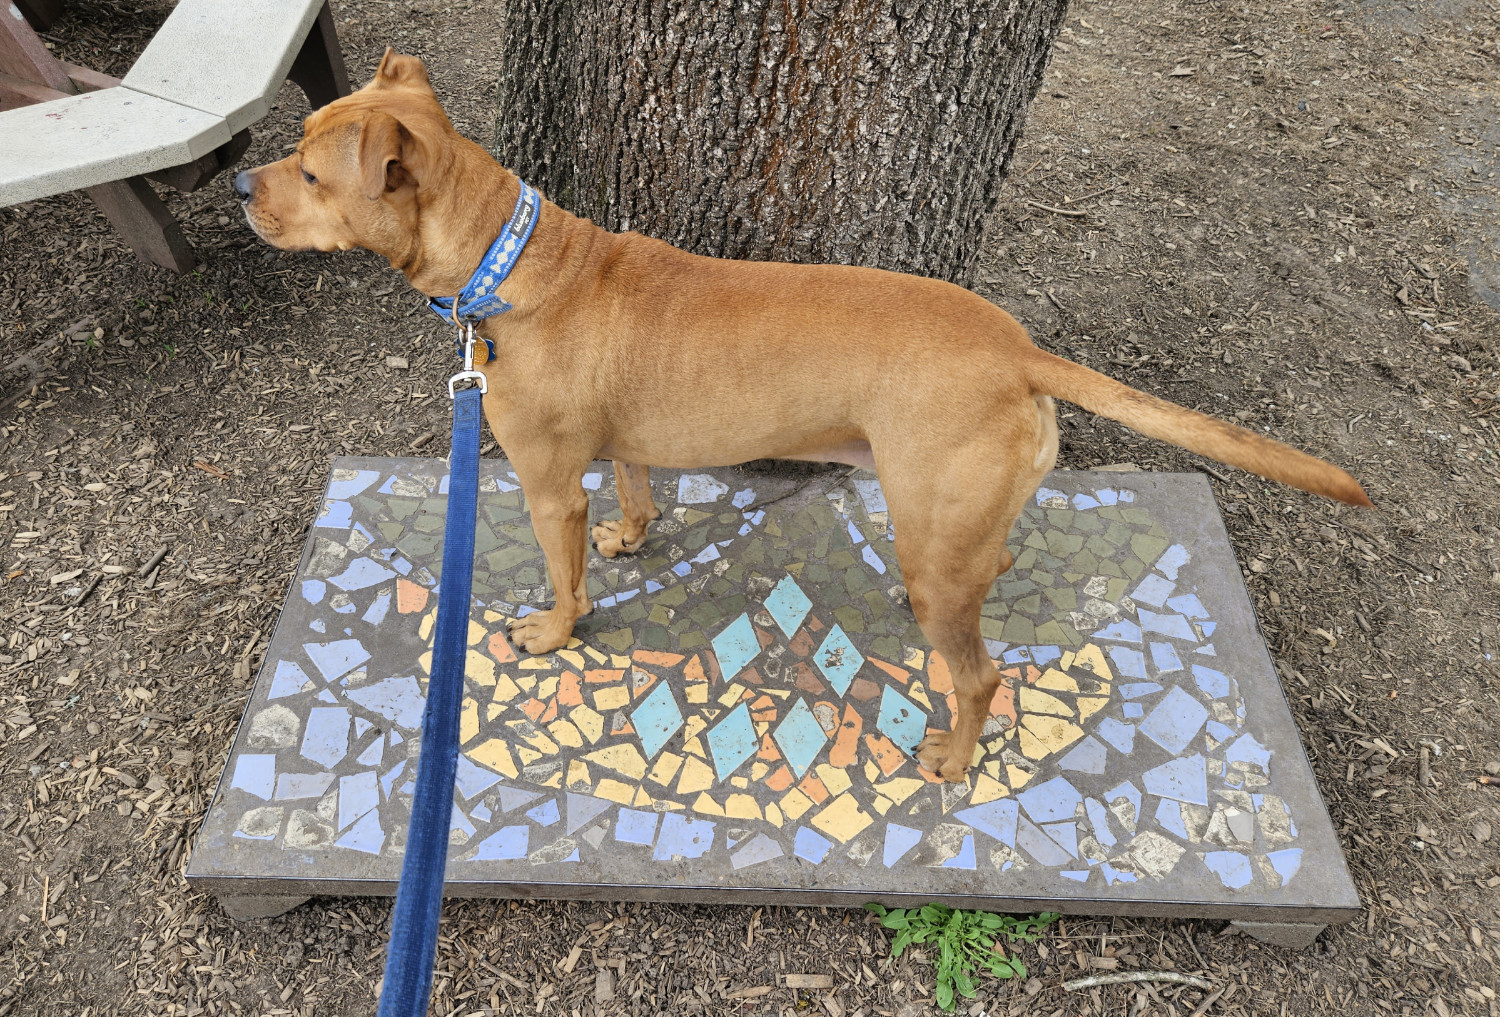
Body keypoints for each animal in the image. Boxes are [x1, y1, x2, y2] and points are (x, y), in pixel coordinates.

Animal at [234, 49, 1374, 786]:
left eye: (310, 170)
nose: (242, 182)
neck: (506, 262)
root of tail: (1016, 347)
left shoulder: (546, 484)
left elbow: (565, 576)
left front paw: (554, 630)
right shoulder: (619, 447)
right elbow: (635, 489)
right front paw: (634, 532)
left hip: (936, 552)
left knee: (981, 675)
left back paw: (953, 754)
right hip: (953, 520)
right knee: (989, 563)